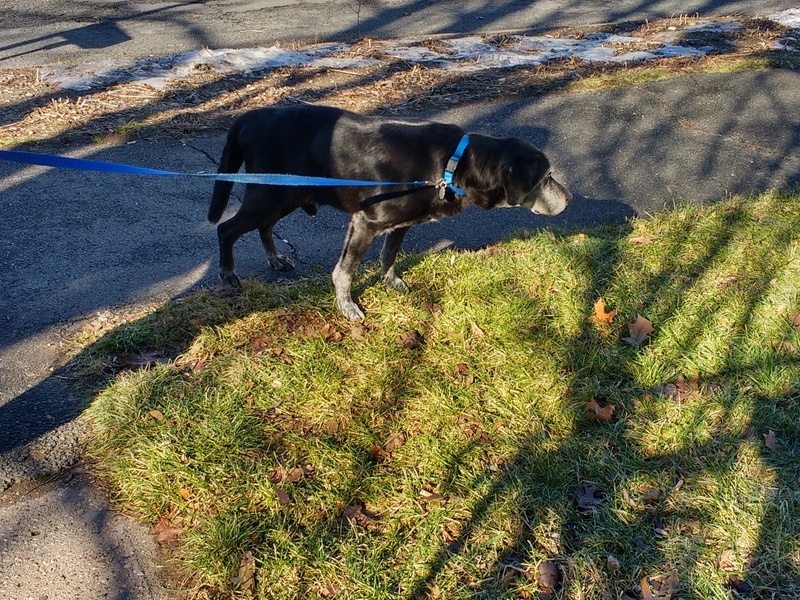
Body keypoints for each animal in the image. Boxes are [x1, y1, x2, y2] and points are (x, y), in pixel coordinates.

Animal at [206, 104, 568, 318]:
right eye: (545, 177)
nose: (569, 198)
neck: (455, 164)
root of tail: (246, 118)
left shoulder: (400, 224)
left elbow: (389, 255)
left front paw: (392, 282)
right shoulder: (366, 222)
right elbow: (344, 272)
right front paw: (347, 307)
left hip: (286, 195)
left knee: (264, 226)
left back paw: (275, 259)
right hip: (269, 195)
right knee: (227, 229)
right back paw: (228, 274)